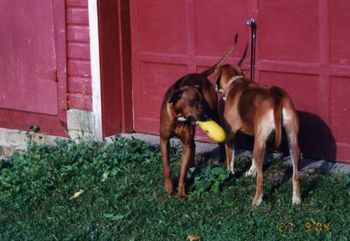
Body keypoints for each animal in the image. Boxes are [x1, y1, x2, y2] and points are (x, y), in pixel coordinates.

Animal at [159, 35, 238, 198]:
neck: (179, 117)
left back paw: (221, 158)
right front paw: (169, 186)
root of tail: (200, 75)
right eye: (193, 101)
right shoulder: (164, 140)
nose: (205, 115)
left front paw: (181, 191)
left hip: (215, 113)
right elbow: (167, 166)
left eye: (201, 101)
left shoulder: (186, 143)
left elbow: (183, 172)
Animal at [216, 64, 300, 205]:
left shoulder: (231, 136)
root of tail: (277, 98)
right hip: (291, 142)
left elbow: (230, 159)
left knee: (261, 179)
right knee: (296, 175)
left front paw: (229, 174)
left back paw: (257, 200)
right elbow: (253, 160)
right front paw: (251, 172)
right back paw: (297, 198)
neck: (234, 80)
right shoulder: (258, 138)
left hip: (260, 145)